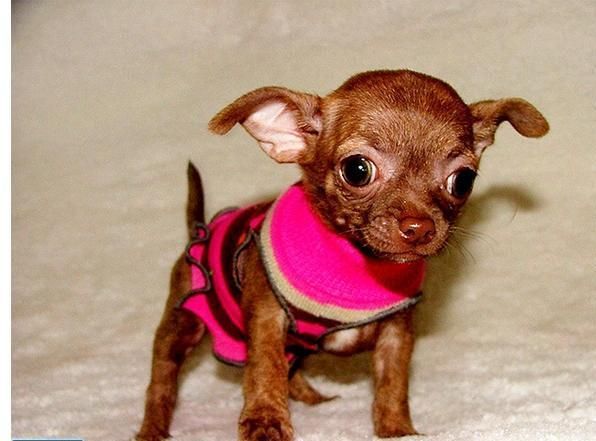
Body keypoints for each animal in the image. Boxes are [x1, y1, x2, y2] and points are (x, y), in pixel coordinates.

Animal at [136, 70, 548, 438]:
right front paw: (266, 423)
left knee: (292, 365)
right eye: (357, 170)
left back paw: (310, 397)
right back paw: (153, 429)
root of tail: (199, 227)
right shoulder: (268, 317)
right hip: (182, 324)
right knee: (162, 379)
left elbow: (392, 384)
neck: (356, 265)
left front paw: (397, 429)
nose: (419, 227)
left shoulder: (396, 334)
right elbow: (265, 368)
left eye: (463, 180)